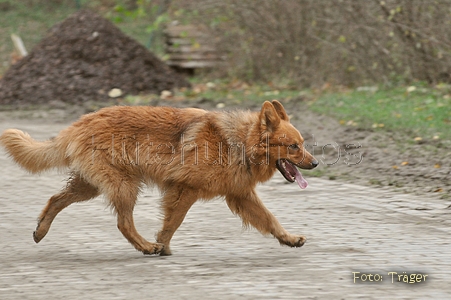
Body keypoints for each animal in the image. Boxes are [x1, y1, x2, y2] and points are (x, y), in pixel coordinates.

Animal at [0, 101, 318, 255]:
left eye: (302, 143)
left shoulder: (241, 195)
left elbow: (270, 220)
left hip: (89, 186)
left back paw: (41, 230)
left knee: (55, 198)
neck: (237, 141)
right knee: (123, 223)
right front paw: (162, 247)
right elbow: (172, 223)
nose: (315, 163)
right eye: (293, 146)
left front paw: (289, 239)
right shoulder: (185, 191)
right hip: (124, 186)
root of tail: (79, 123)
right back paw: (145, 247)